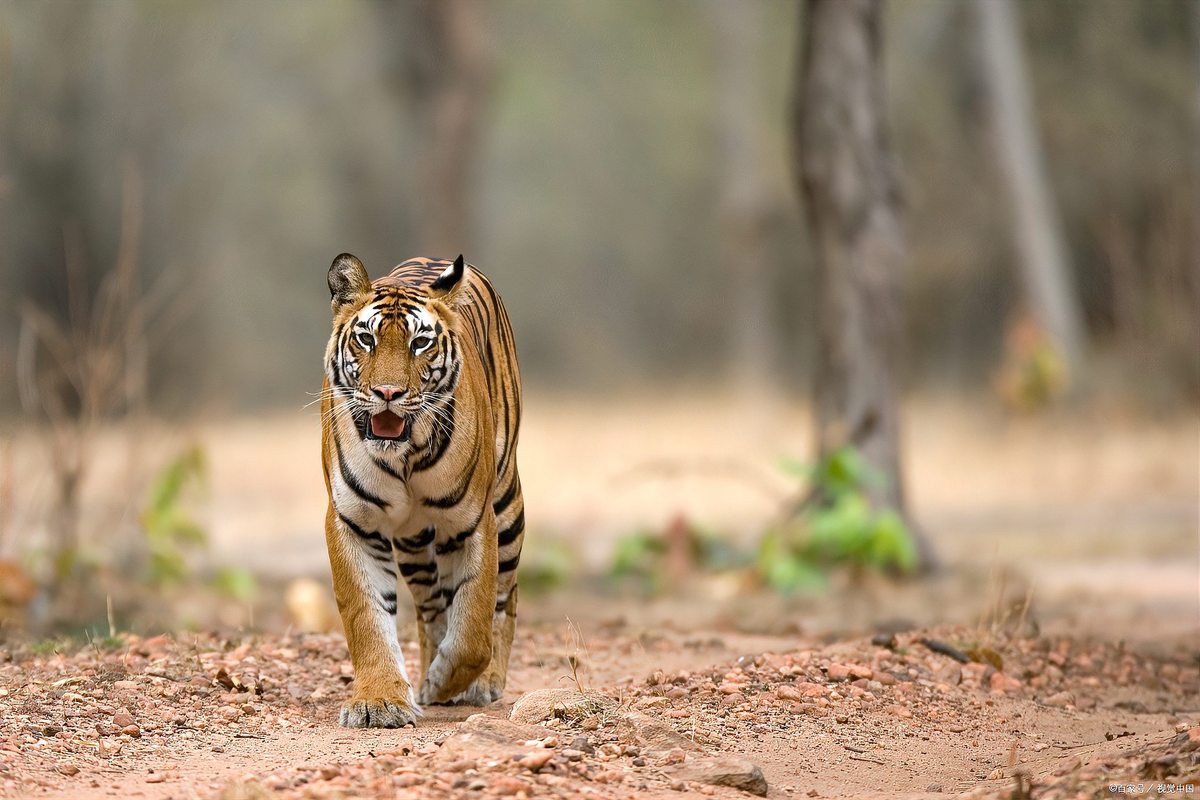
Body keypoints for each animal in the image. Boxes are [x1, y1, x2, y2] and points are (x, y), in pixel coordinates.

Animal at [320, 253, 524, 728]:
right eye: (366, 339)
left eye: (419, 343)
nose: (388, 393)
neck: (405, 456)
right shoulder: (352, 522)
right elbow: (367, 616)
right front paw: (380, 702)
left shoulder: (474, 522)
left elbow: (473, 627)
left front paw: (446, 681)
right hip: (413, 543)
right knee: (432, 608)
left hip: (507, 506)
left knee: (504, 600)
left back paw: (483, 680)